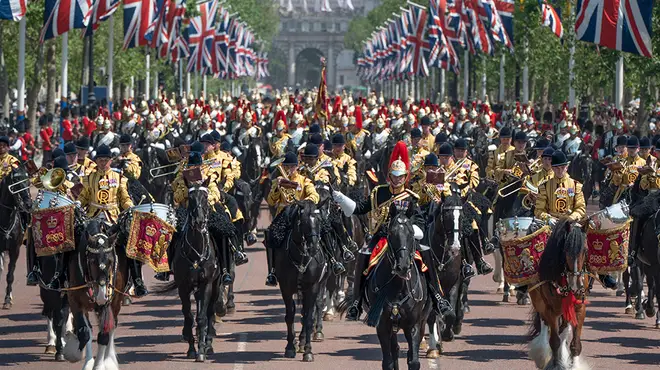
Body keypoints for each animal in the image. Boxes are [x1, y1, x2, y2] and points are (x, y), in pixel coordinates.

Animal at [62, 218, 130, 370]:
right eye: (92, 261)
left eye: (111, 261)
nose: (101, 296)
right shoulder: (74, 301)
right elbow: (85, 332)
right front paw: (77, 354)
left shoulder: (110, 303)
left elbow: (104, 335)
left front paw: (100, 365)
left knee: (111, 326)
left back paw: (109, 361)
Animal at [153, 184, 220, 362]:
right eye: (190, 198)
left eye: (205, 196)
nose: (199, 221)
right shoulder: (183, 286)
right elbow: (188, 315)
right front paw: (191, 348)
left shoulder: (206, 284)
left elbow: (202, 316)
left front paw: (202, 350)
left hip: (216, 284)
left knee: (210, 311)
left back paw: (208, 342)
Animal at [270, 199, 328, 362]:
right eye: (303, 221)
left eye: (320, 220)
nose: (314, 247)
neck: (301, 257)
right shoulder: (286, 288)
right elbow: (290, 315)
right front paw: (290, 347)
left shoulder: (312, 287)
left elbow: (308, 318)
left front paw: (308, 351)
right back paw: (298, 342)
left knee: (312, 309)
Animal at [528, 220, 592, 370]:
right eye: (566, 250)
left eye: (585, 250)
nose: (576, 285)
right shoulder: (551, 310)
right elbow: (554, 341)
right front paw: (556, 364)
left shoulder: (579, 308)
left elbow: (575, 345)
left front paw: (573, 365)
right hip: (540, 303)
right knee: (545, 324)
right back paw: (542, 355)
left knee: (564, 328)